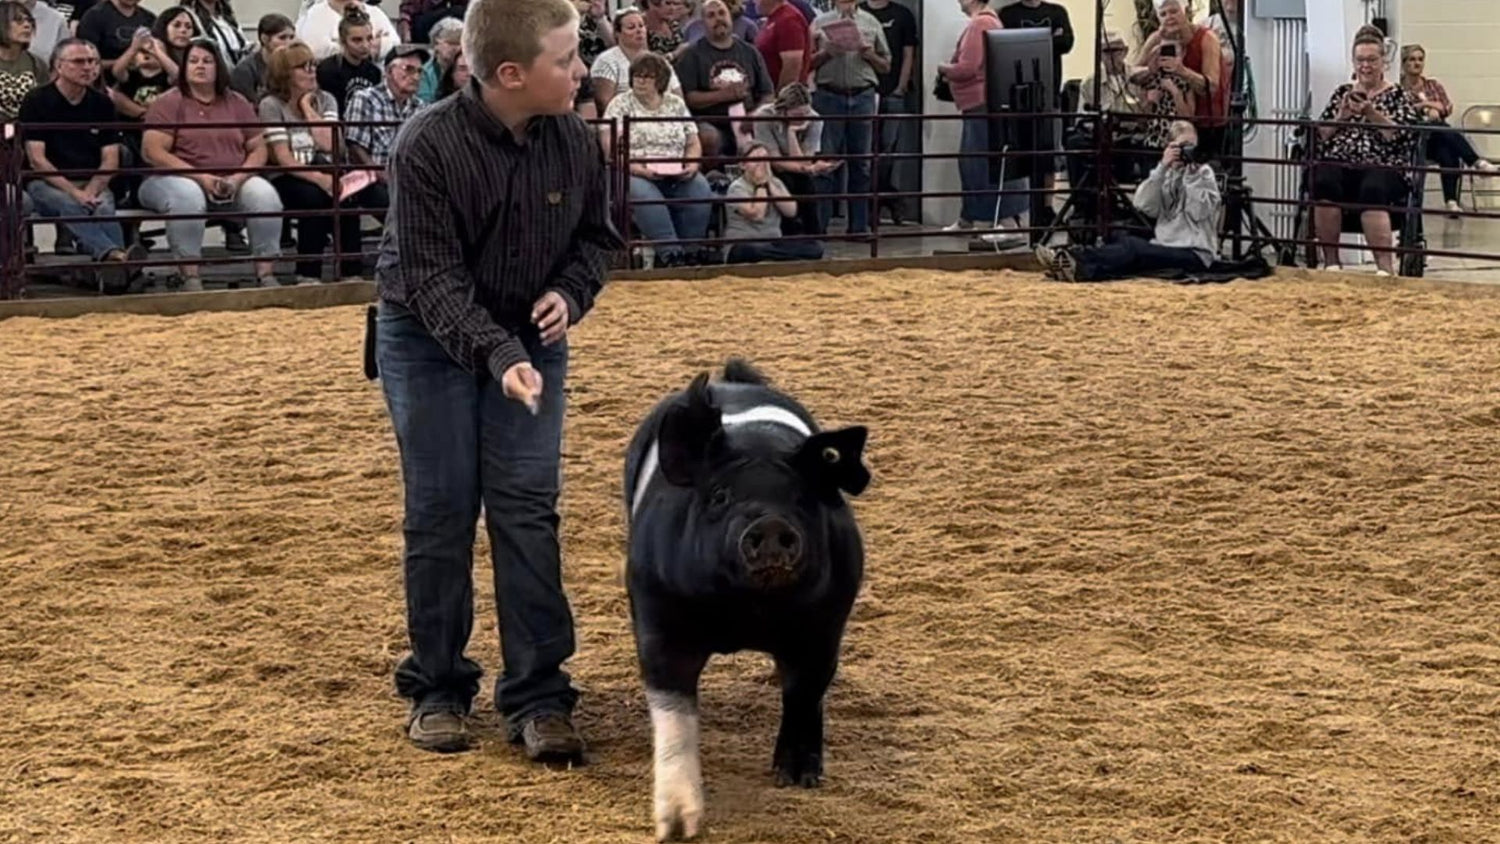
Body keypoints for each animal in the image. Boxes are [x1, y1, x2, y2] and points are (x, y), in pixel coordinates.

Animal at [621, 358, 871, 842]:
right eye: (720, 495)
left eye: (802, 498)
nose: (771, 523)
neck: (746, 612)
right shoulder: (658, 618)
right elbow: (674, 714)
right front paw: (676, 826)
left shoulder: (825, 625)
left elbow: (804, 692)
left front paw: (797, 779)